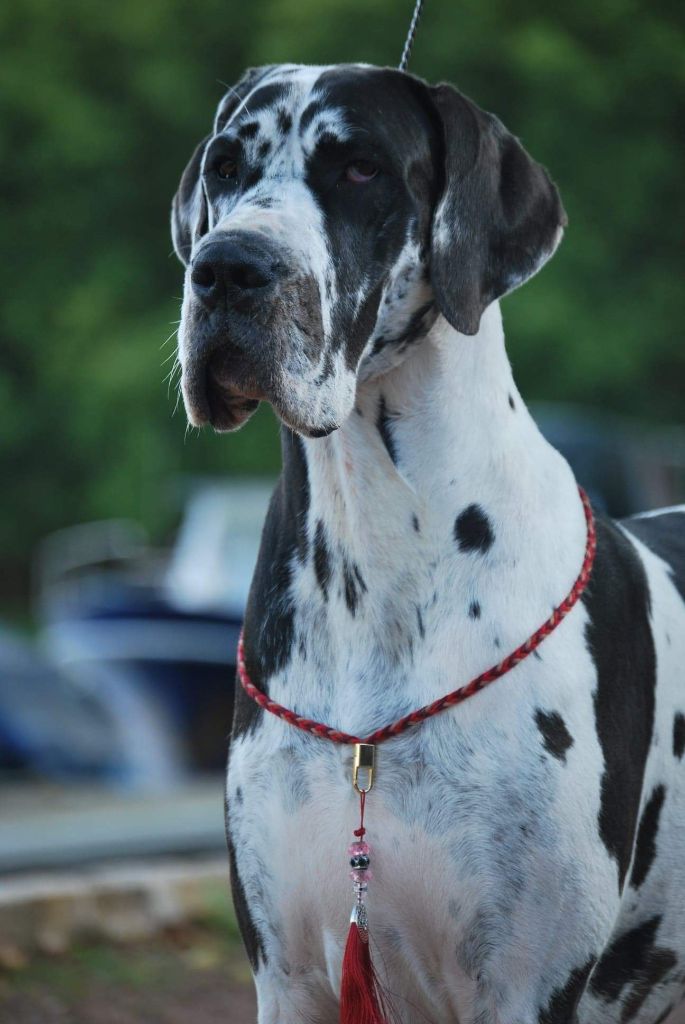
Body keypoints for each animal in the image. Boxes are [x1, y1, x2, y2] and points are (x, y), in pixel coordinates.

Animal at [171, 63, 685, 1024]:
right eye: (225, 165)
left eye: (361, 169)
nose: (225, 267)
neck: (375, 559)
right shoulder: (288, 978)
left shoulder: (525, 985)